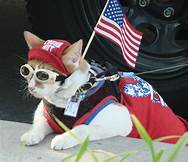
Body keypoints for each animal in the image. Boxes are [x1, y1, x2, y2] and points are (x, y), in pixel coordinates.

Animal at [20, 31, 188, 150]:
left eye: (43, 75)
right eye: (27, 71)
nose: (31, 87)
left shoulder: (122, 120)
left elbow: (82, 128)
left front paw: (63, 138)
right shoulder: (44, 112)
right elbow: (39, 122)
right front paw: (31, 134)